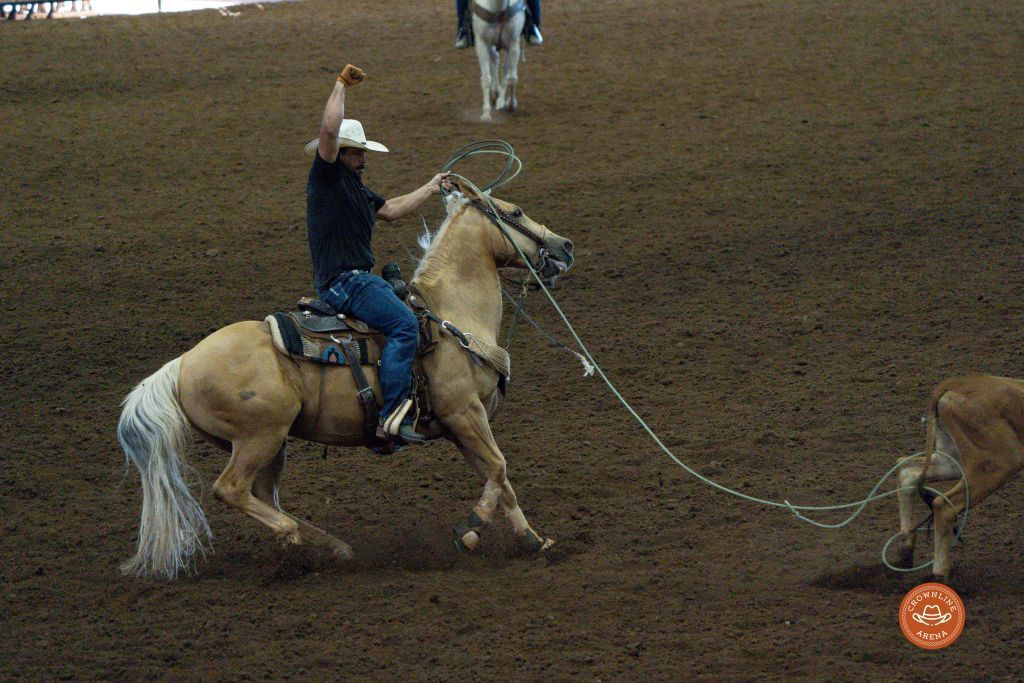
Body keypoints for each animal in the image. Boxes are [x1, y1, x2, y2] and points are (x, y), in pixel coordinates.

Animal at [117, 184, 575, 579]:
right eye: (516, 211)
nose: (565, 246)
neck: (451, 313)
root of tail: (182, 363)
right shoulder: (463, 412)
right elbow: (498, 467)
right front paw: (470, 529)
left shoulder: (462, 425)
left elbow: (500, 478)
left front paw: (533, 540)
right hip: (259, 436)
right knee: (230, 489)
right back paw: (298, 539)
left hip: (268, 443)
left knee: (261, 494)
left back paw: (329, 546)